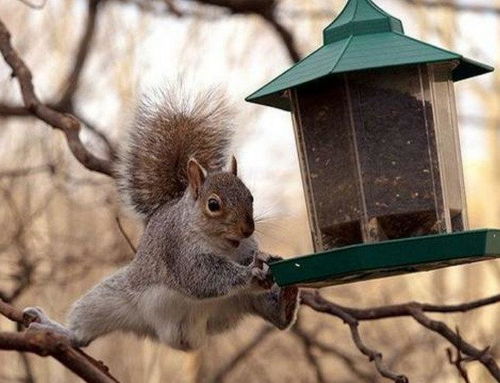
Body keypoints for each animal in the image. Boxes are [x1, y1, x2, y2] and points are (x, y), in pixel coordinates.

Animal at [22, 86, 296, 352]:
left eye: (250, 197)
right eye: (213, 204)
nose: (247, 229)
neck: (223, 244)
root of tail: (181, 338)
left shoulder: (244, 248)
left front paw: (264, 257)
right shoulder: (177, 250)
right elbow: (200, 276)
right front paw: (250, 272)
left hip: (244, 299)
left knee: (278, 320)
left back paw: (288, 297)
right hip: (109, 299)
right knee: (82, 333)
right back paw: (55, 329)